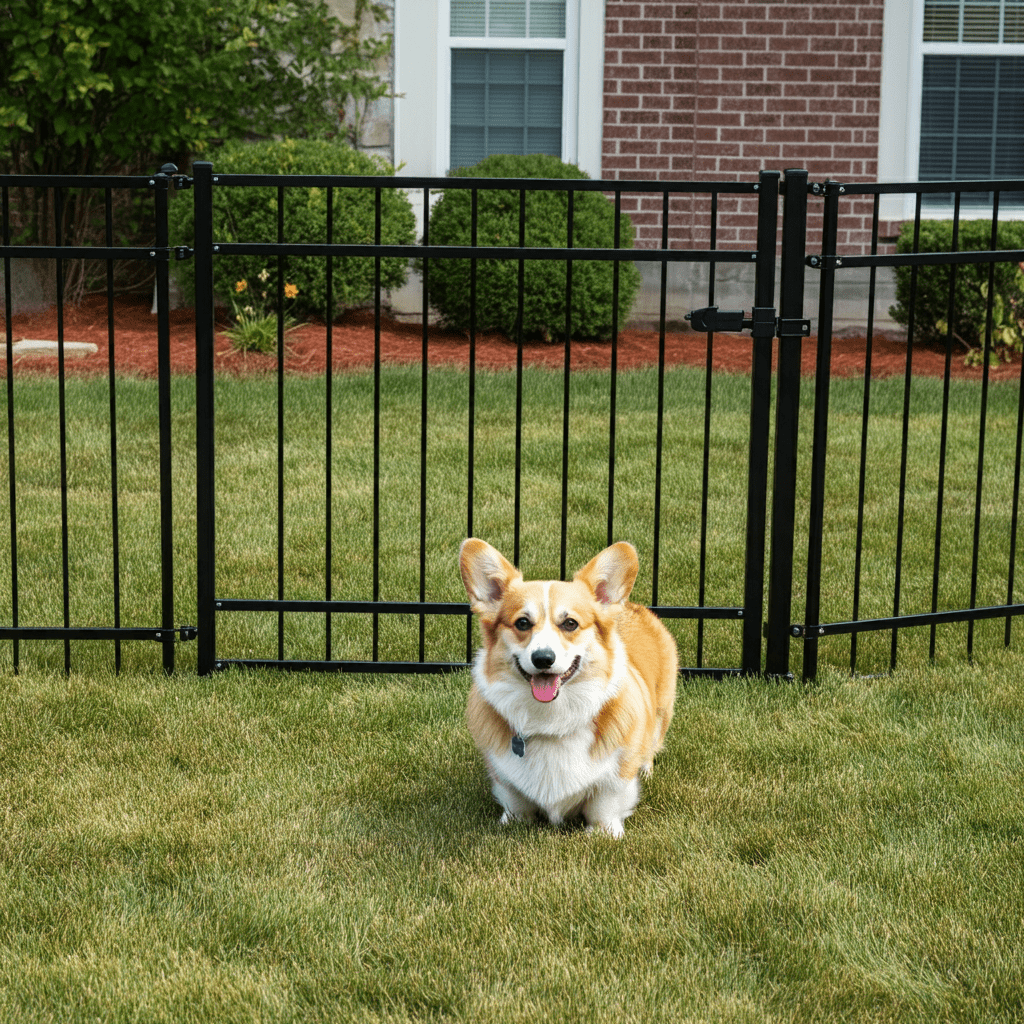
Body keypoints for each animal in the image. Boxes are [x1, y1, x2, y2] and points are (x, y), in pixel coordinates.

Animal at [460, 540, 675, 835]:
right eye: (522, 623)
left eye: (570, 623)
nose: (543, 659)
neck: (552, 720)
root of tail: (632, 605)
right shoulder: (504, 776)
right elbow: (514, 801)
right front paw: (510, 822)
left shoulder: (614, 778)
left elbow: (605, 804)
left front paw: (605, 833)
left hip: (662, 711)